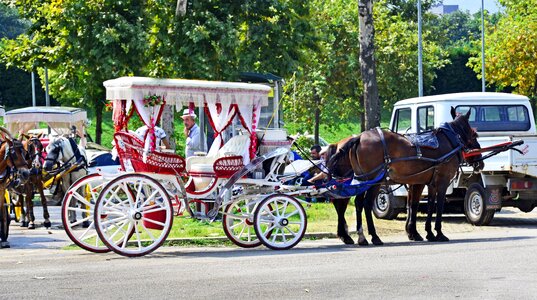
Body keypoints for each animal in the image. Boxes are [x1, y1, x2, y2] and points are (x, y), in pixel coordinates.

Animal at [326, 108, 482, 244]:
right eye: (474, 134)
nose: (480, 161)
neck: (450, 141)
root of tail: (359, 137)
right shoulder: (441, 182)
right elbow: (438, 206)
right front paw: (438, 233)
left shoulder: (425, 182)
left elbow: (422, 205)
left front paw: (423, 233)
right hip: (374, 181)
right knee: (365, 204)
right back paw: (373, 236)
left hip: (363, 179)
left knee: (357, 203)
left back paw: (361, 237)